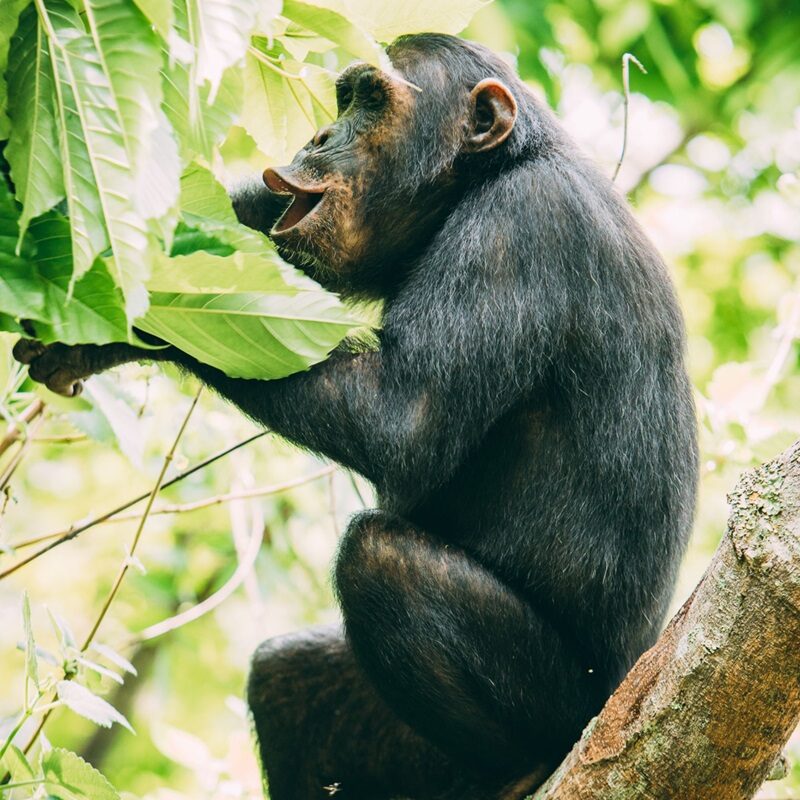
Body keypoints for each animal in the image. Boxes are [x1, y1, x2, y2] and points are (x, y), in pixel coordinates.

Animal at [15, 34, 696, 800]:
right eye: (344, 100)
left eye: (368, 101)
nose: (318, 135)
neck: (484, 176)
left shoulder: (520, 231)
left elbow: (401, 416)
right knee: (281, 673)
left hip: (575, 702)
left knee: (380, 559)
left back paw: (525, 764)